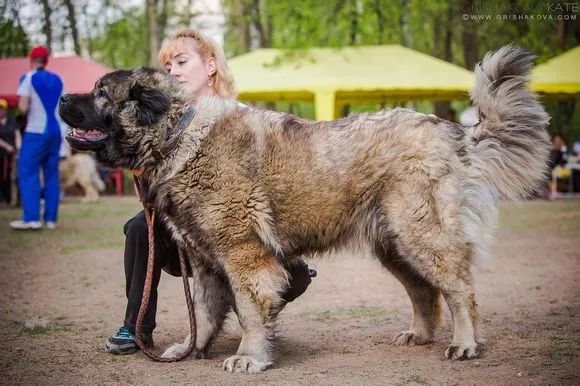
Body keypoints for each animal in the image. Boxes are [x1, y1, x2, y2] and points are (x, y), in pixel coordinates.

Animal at [59, 46, 548, 374]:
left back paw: (465, 344)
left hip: (421, 235)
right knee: (424, 291)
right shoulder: (206, 259)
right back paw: (420, 335)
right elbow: (204, 310)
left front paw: (249, 357)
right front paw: (189, 348)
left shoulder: (243, 254)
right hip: (394, 246)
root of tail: (453, 132)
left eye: (101, 92)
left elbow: (249, 307)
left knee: (460, 289)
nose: (62, 97)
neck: (178, 135)